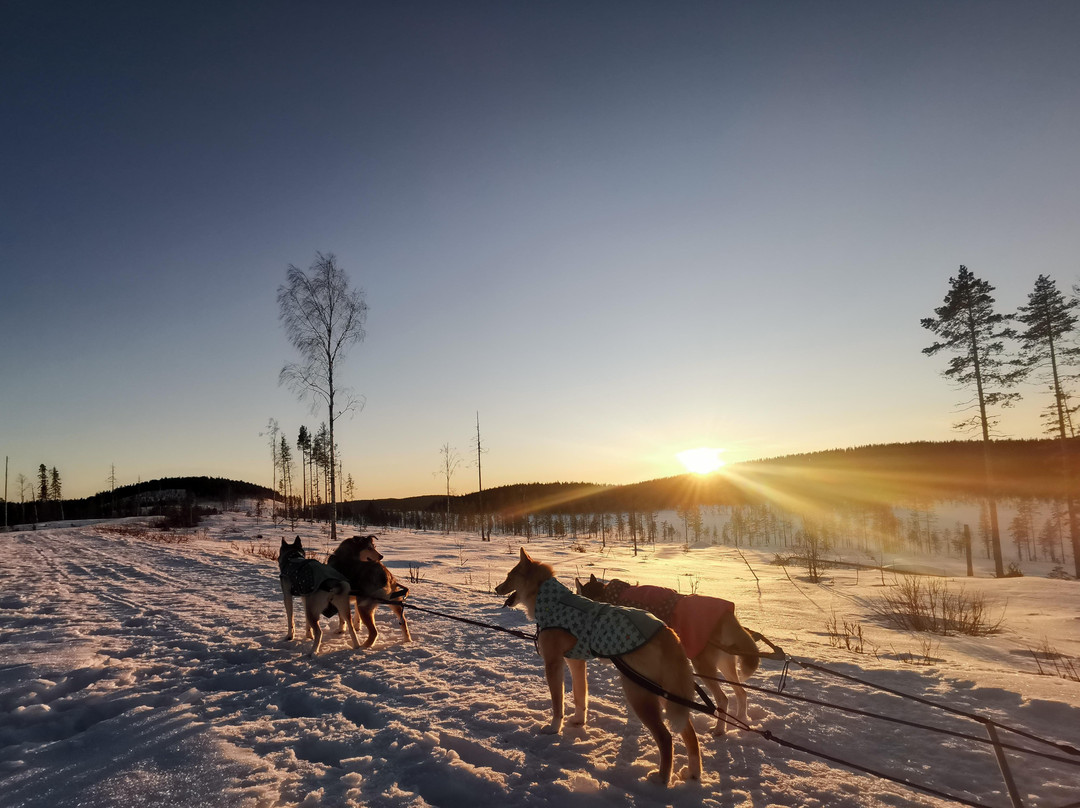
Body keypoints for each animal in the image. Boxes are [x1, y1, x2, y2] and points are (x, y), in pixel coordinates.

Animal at [494, 546, 704, 786]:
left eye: (509, 576)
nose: (496, 588)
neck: (551, 601)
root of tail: (666, 631)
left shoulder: (553, 664)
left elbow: (558, 703)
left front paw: (554, 728)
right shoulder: (576, 662)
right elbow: (580, 696)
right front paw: (578, 721)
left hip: (639, 694)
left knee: (666, 737)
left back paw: (661, 778)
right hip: (664, 694)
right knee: (689, 733)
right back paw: (693, 772)